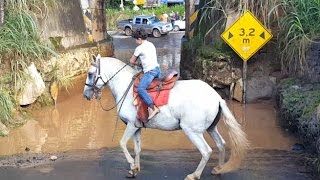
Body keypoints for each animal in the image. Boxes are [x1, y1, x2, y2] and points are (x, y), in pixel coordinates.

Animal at [82, 55, 250, 180]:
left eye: (90, 74)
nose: (86, 95)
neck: (126, 89)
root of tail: (217, 98)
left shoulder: (130, 125)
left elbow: (122, 143)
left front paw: (132, 165)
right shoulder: (137, 127)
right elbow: (137, 148)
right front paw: (135, 169)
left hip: (192, 131)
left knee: (206, 151)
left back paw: (194, 175)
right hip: (211, 128)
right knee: (221, 144)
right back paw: (219, 169)